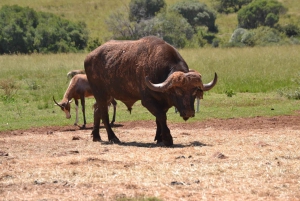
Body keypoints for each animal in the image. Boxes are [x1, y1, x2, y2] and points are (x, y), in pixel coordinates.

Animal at [83, 36, 217, 146]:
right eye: (178, 91)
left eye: (194, 91)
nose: (189, 112)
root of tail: (89, 57)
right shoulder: (147, 101)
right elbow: (162, 116)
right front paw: (167, 138)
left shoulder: (163, 103)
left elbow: (159, 118)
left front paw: (159, 138)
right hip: (100, 93)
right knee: (104, 115)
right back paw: (113, 138)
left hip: (108, 95)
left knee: (97, 110)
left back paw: (96, 136)